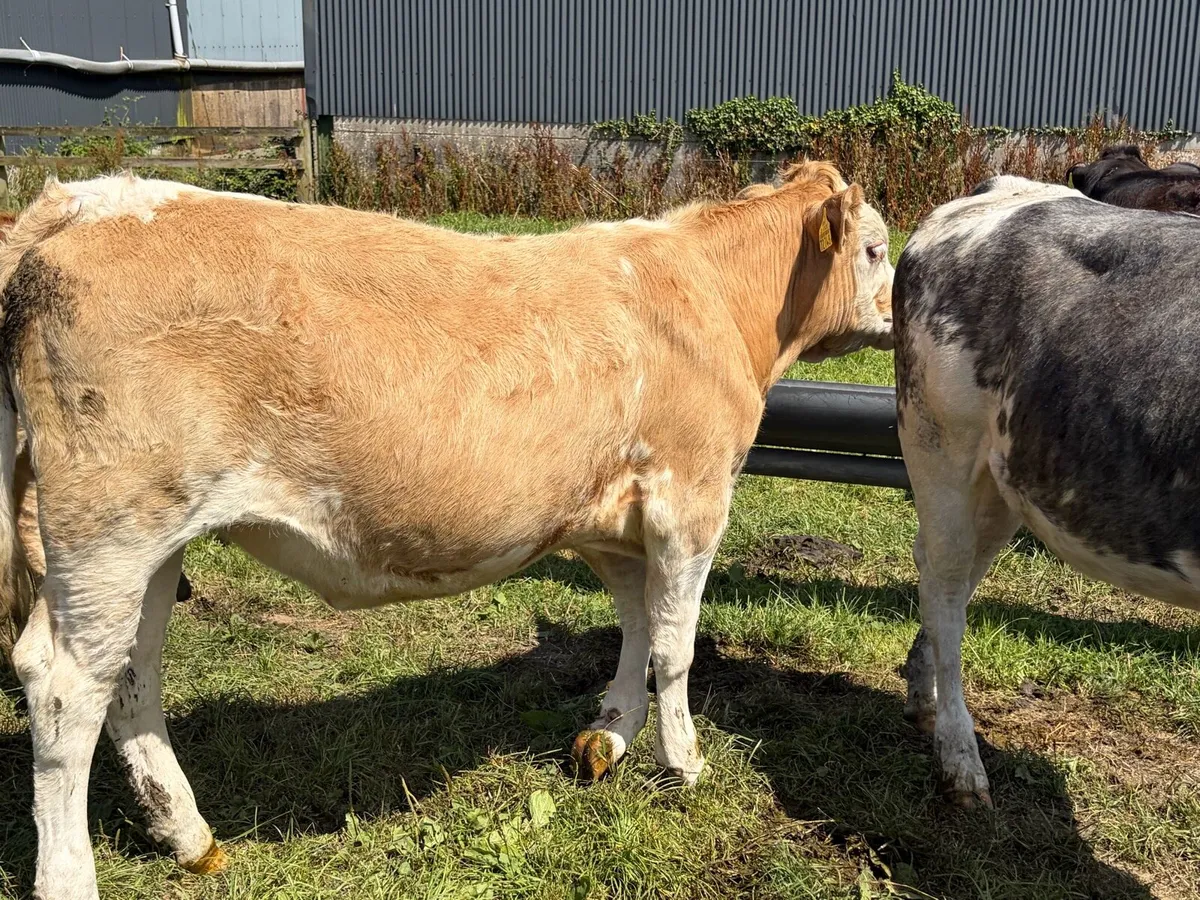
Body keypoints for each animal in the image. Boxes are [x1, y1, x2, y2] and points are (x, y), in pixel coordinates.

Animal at [0, 164, 893, 899]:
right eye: (878, 249)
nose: (899, 304)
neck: (715, 299)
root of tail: (85, 199)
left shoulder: (605, 517)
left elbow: (636, 623)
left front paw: (611, 733)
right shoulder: (691, 494)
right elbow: (676, 646)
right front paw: (686, 762)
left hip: (150, 544)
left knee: (132, 673)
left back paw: (189, 837)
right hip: (108, 527)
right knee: (63, 684)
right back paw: (71, 878)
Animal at [893, 174, 1200, 808]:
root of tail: (1006, 185)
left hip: (1003, 482)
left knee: (953, 577)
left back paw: (925, 701)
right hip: (941, 447)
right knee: (945, 587)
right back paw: (960, 759)